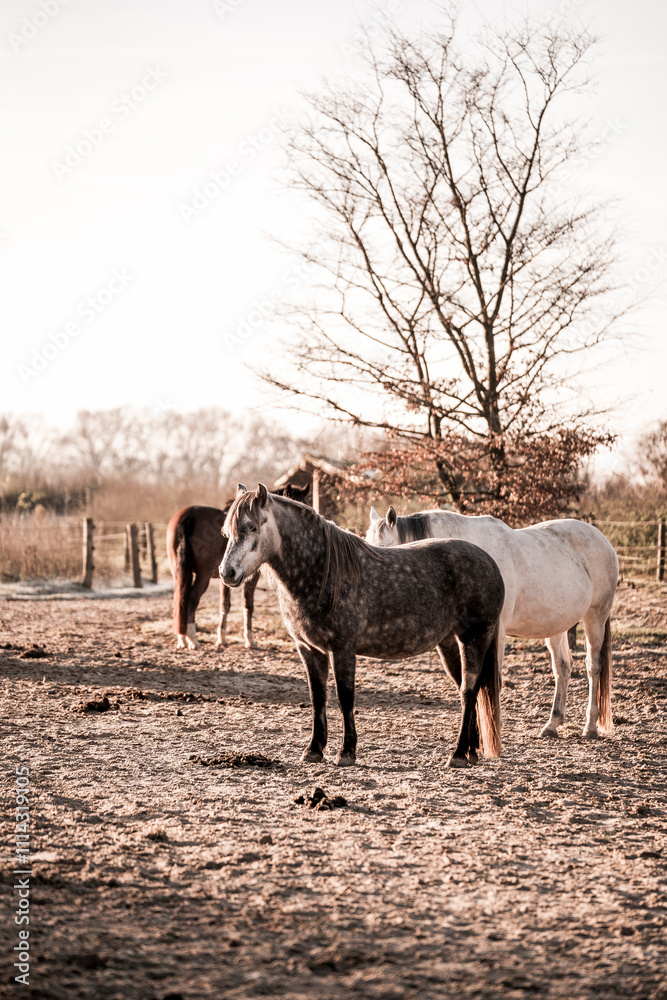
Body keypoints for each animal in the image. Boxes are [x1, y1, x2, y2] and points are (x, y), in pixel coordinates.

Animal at [166, 483, 309, 650]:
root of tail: (188, 516)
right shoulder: (250, 577)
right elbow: (248, 605)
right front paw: (249, 639)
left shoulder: (226, 578)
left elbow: (224, 605)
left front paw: (221, 638)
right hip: (203, 577)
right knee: (192, 599)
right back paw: (193, 639)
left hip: (180, 573)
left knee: (180, 599)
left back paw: (182, 638)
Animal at [220, 484, 506, 768]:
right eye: (227, 531)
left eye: (252, 527)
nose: (226, 573)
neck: (322, 573)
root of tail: (491, 563)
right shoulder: (310, 649)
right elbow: (317, 698)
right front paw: (314, 749)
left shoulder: (343, 648)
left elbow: (345, 697)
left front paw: (346, 752)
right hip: (448, 643)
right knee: (470, 691)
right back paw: (470, 751)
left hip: (474, 639)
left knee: (469, 691)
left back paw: (457, 754)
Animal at [366, 505, 619, 739]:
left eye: (385, 549)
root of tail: (604, 541)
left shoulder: (496, 632)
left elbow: (491, 679)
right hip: (556, 625)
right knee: (563, 667)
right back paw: (552, 724)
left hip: (595, 617)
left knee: (593, 666)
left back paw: (590, 726)